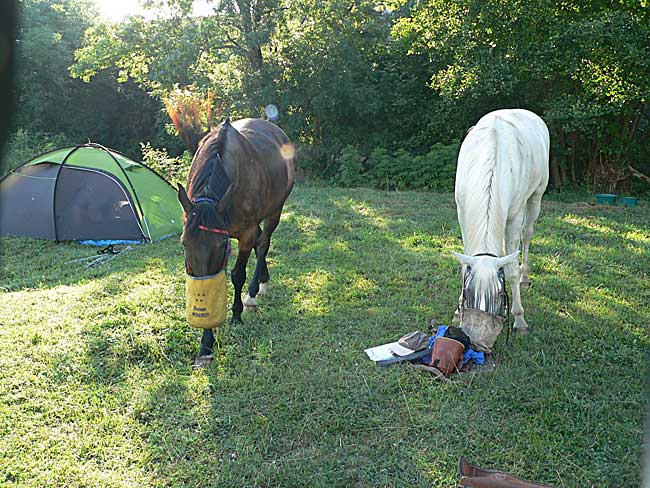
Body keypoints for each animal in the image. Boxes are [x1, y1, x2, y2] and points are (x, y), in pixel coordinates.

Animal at [177, 116, 294, 364]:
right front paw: (206, 344)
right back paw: (262, 280)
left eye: (221, 245)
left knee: (263, 244)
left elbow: (237, 275)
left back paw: (253, 293)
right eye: (184, 243)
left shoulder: (245, 235)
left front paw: (237, 315)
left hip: (275, 211)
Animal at [454, 109, 548, 332]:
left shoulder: (514, 217)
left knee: (526, 235)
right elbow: (464, 264)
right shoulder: (462, 215)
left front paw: (519, 318)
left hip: (535, 198)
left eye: (499, 296)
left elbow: (511, 270)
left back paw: (524, 277)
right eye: (469, 293)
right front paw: (458, 310)